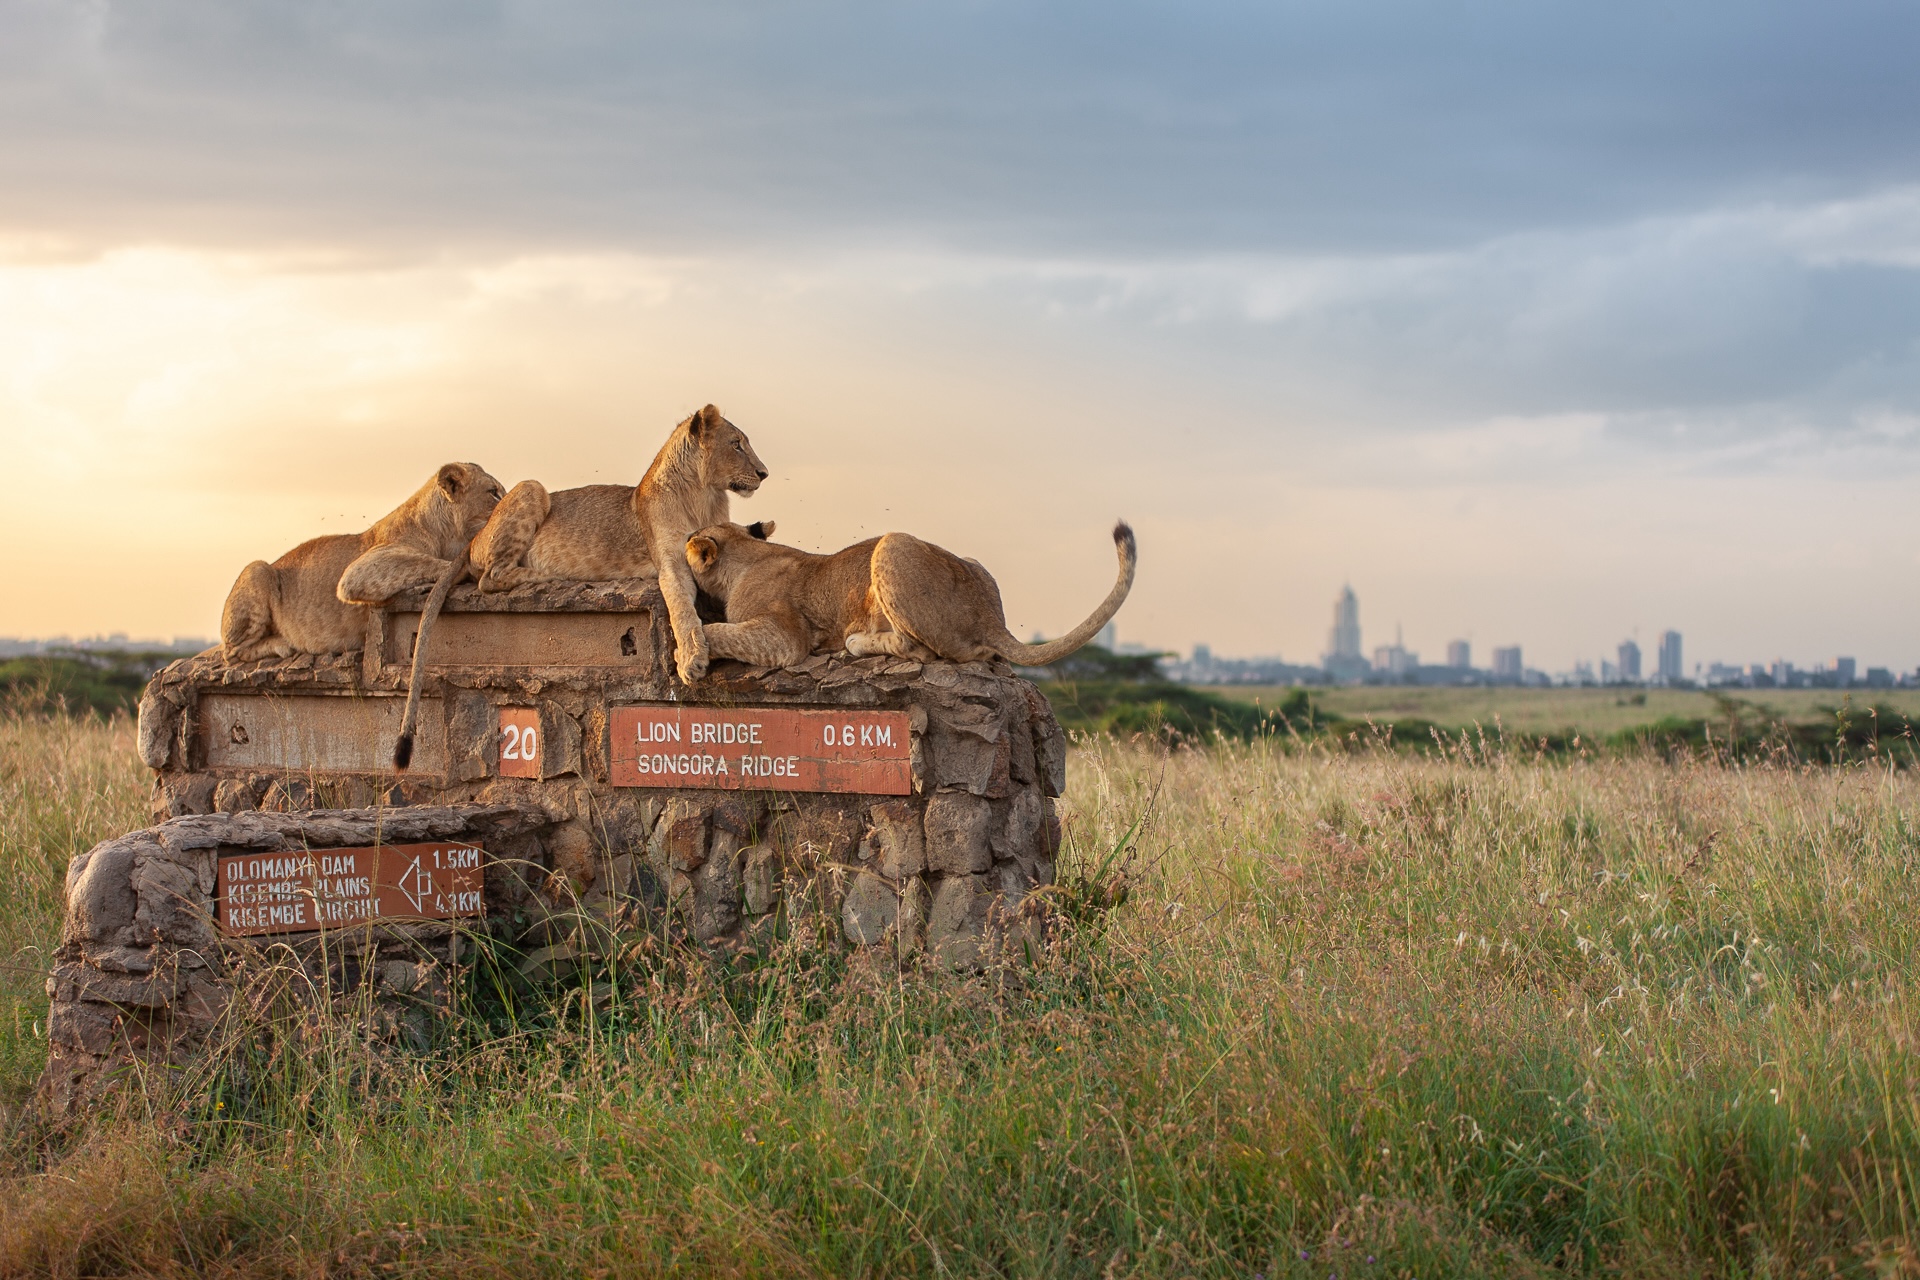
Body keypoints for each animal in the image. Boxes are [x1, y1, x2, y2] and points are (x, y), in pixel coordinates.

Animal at [218, 462, 504, 665]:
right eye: (493, 493)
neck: (444, 533)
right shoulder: (359, 571)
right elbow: (425, 562)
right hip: (258, 568)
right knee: (231, 653)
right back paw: (281, 643)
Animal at [464, 403, 767, 683]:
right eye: (736, 444)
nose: (764, 473)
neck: (704, 496)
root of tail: (474, 540)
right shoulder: (672, 565)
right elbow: (681, 609)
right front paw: (692, 659)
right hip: (531, 486)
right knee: (491, 577)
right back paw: (547, 575)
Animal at [682, 519, 1136, 669]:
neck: (748, 552)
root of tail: (991, 615)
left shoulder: (786, 635)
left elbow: (720, 631)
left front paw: (691, 660)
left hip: (892, 544)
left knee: (922, 650)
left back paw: (853, 643)